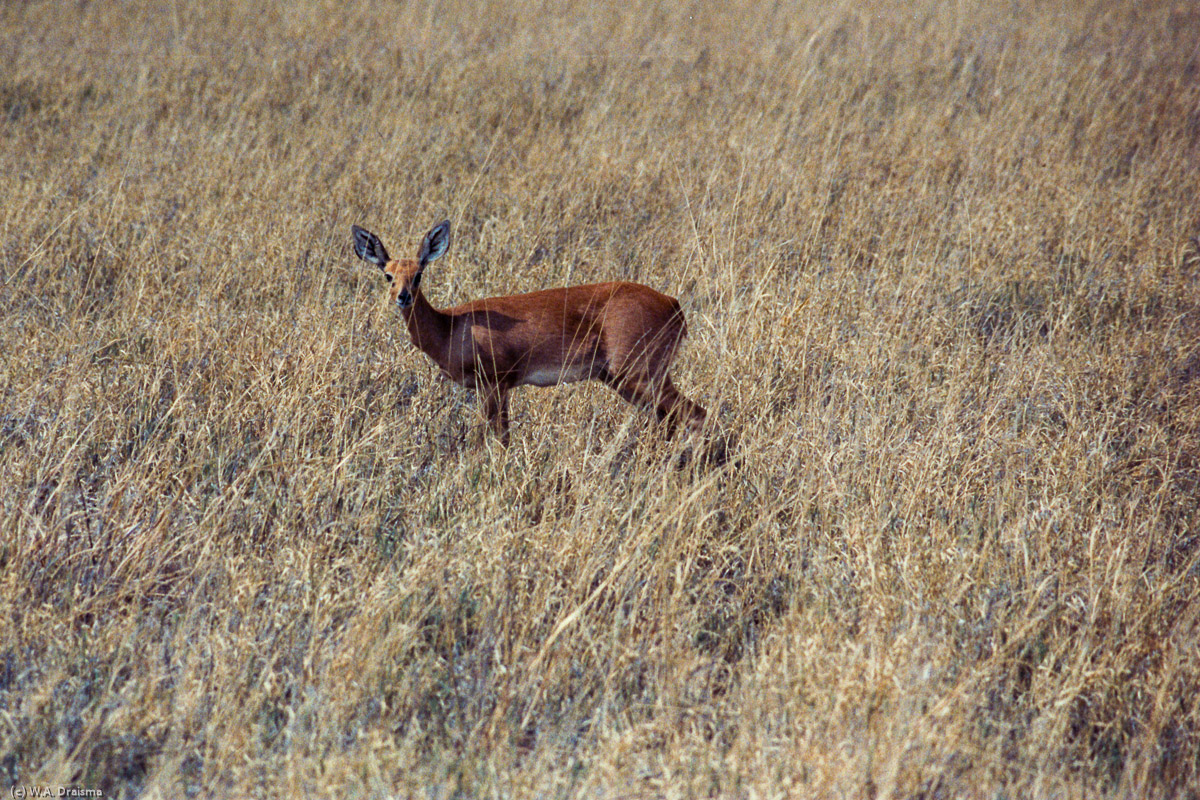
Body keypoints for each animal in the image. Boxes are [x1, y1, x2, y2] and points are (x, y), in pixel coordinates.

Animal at [350, 220, 700, 443]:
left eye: (419, 274)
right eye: (388, 274)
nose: (403, 296)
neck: (450, 328)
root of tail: (674, 305)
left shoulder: (495, 384)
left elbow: (499, 440)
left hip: (640, 376)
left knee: (696, 414)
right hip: (626, 381)